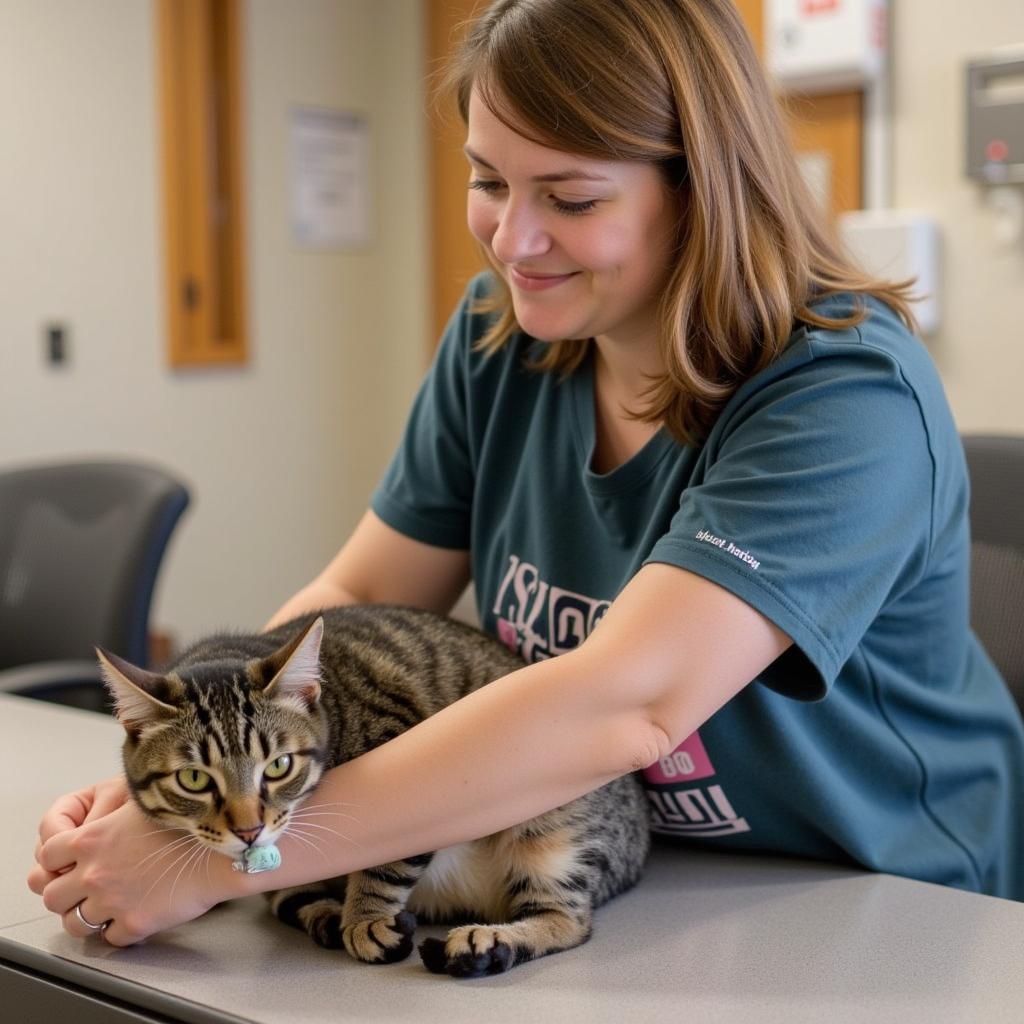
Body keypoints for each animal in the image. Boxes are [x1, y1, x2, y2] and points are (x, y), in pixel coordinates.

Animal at [99, 602, 651, 978]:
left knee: (567, 919)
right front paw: (336, 911)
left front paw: (364, 917)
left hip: (555, 828)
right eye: (194, 778)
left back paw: (488, 943)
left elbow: (386, 862)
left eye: (278, 766)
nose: (250, 830)